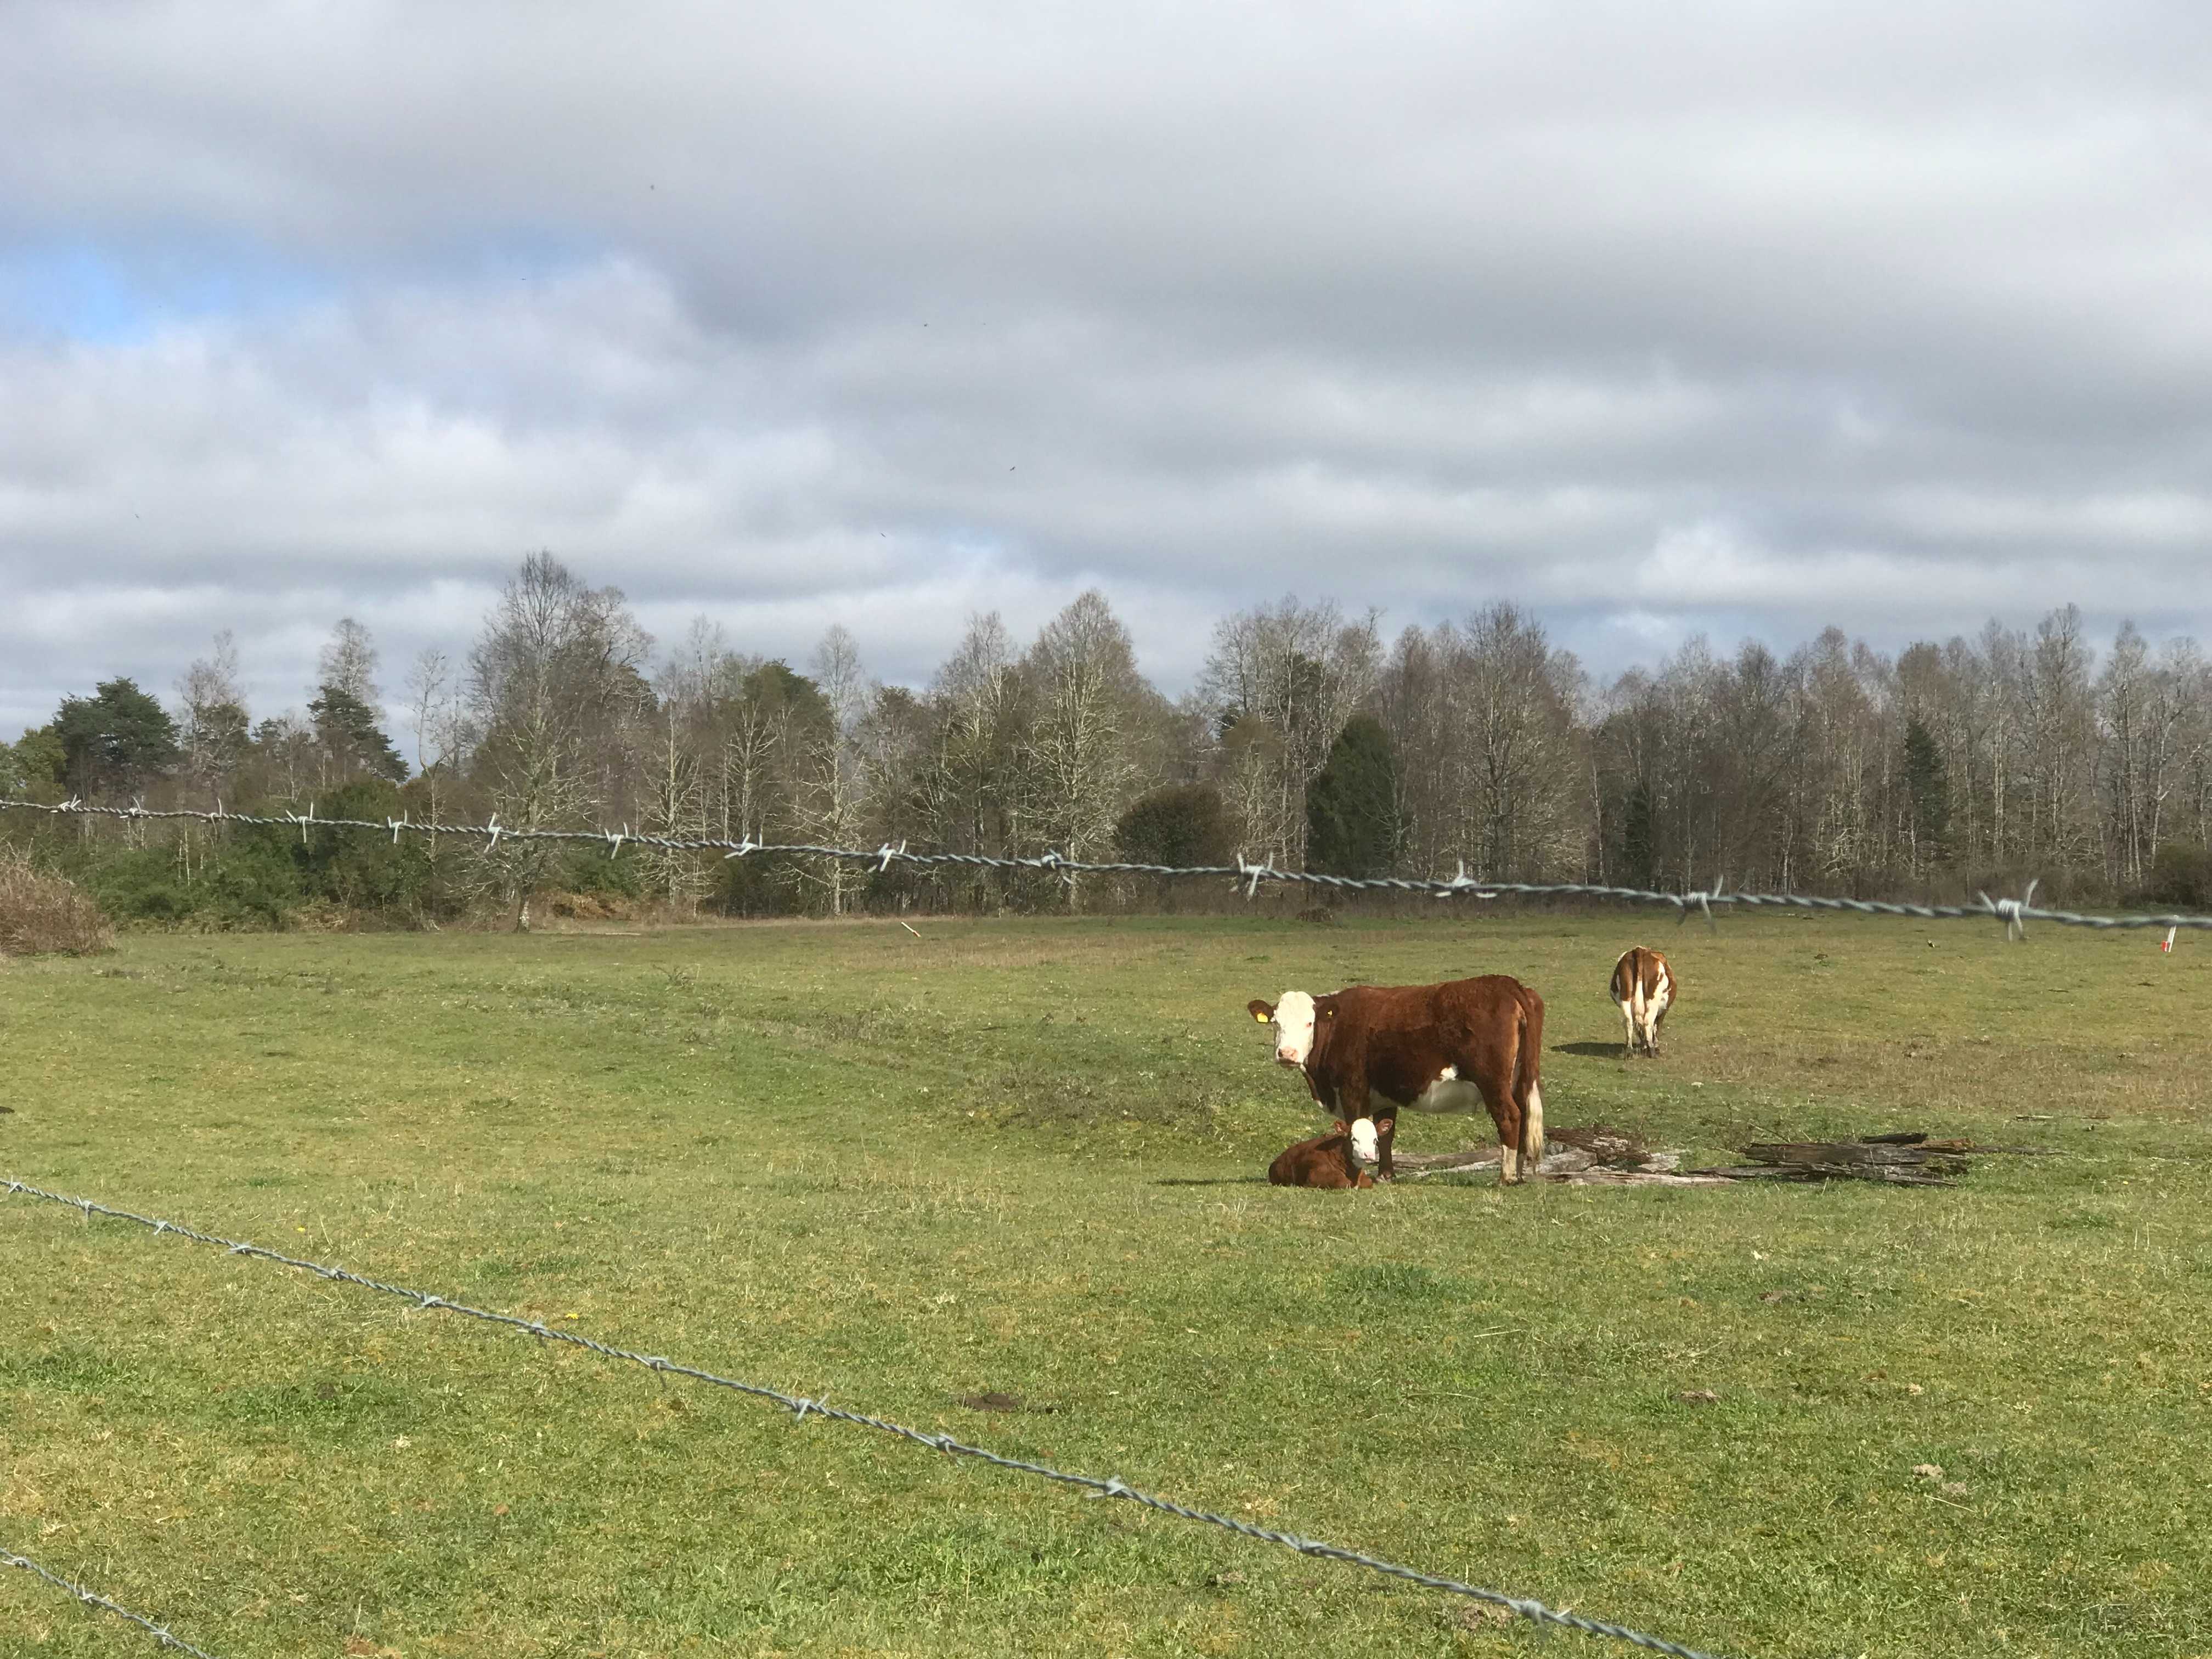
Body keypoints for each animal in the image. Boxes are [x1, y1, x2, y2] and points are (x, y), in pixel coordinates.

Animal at [1610, 946, 1672, 1066]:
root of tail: (1639, 950)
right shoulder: (1664, 1010)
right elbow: (1657, 1027)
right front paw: (1655, 1047)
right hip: (1652, 1000)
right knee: (1648, 1022)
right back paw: (1652, 1052)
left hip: (1626, 996)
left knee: (1629, 1022)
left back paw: (1630, 1052)